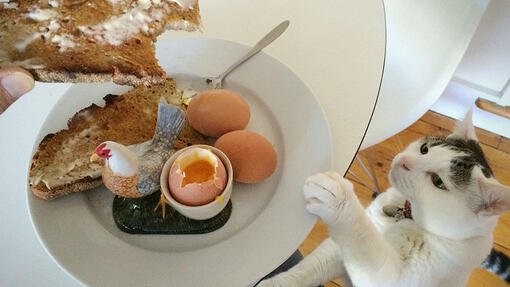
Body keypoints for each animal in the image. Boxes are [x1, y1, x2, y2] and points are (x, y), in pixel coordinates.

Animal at [258, 112, 510, 287]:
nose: (403, 161)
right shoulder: (341, 250)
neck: (405, 215)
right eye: (424, 149)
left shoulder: (392, 279)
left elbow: (361, 240)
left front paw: (338, 199)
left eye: (438, 181)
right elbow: (312, 267)